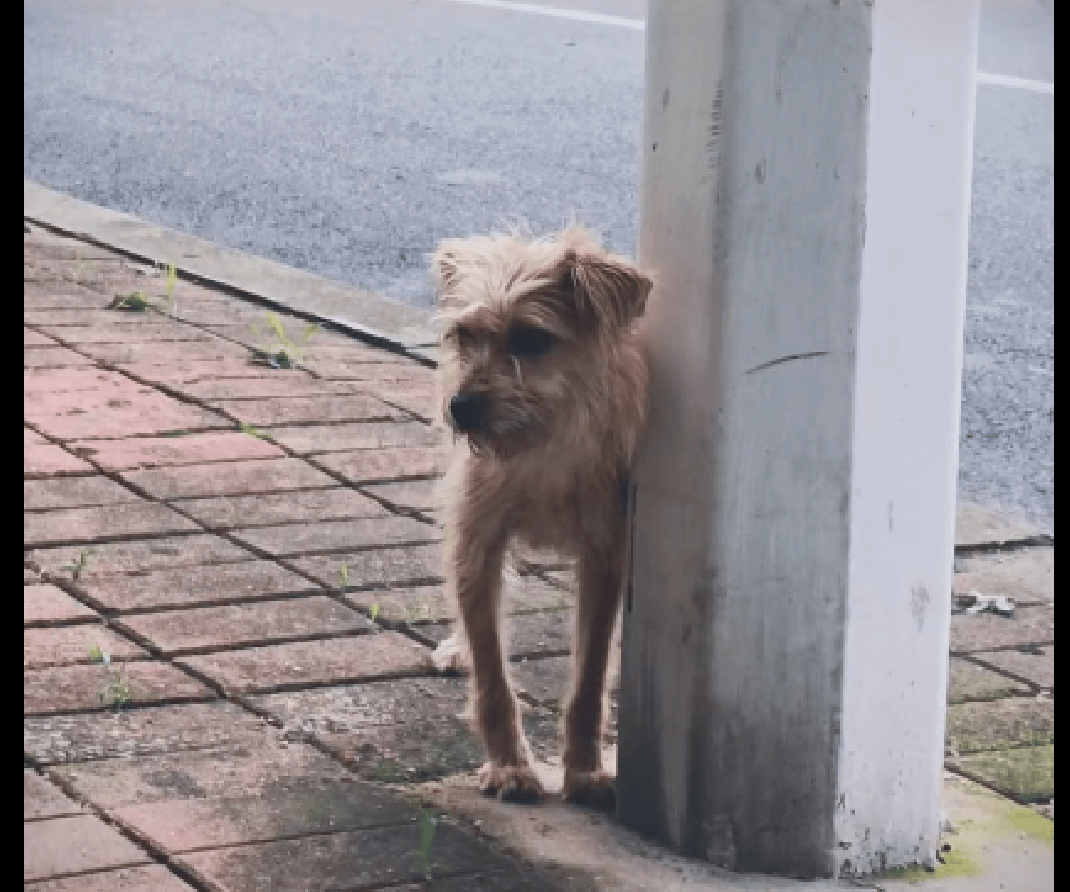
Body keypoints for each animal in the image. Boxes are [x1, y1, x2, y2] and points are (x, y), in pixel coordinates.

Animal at [428, 224, 650, 804]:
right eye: (464, 335)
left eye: (531, 339)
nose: (460, 407)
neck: (542, 446)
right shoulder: (477, 543)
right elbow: (492, 670)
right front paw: (508, 765)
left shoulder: (604, 556)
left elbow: (591, 674)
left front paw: (586, 770)